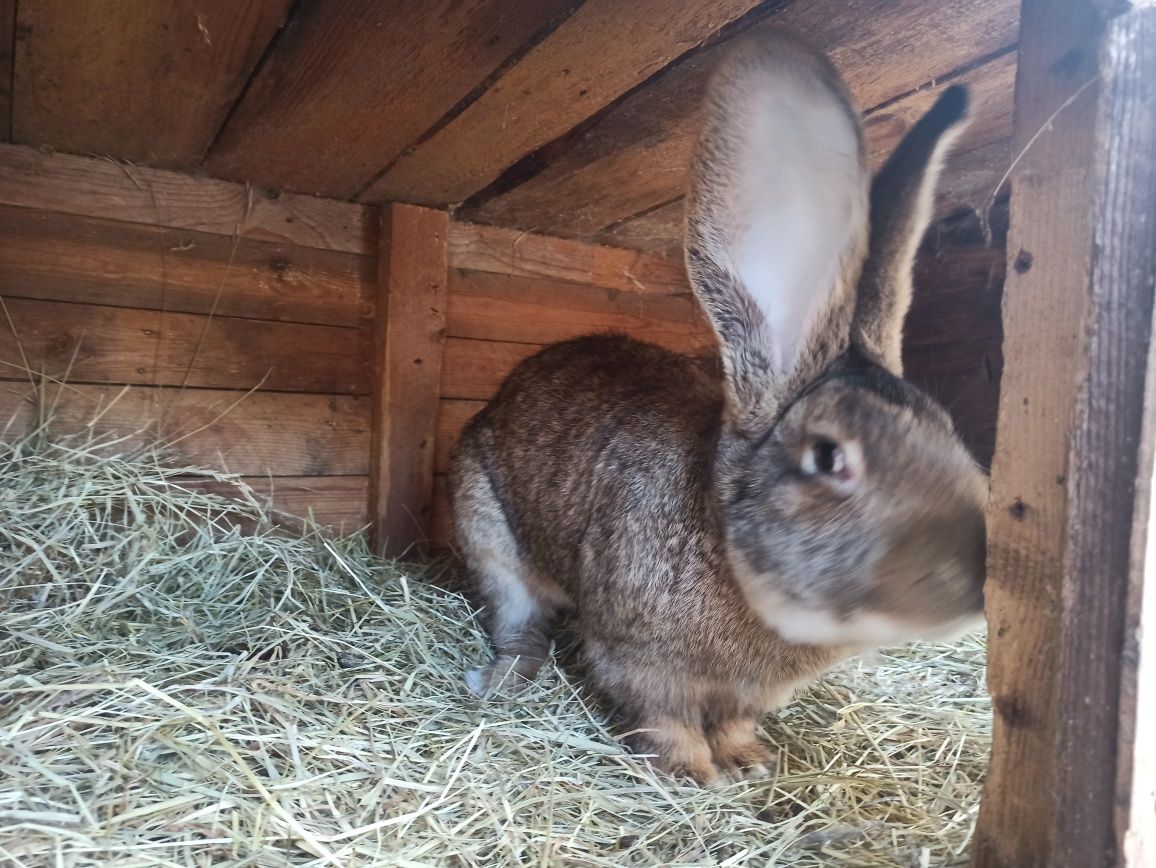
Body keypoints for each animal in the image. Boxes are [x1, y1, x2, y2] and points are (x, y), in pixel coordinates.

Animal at [448, 30, 984, 785]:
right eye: (829, 457)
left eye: (949, 432)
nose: (979, 575)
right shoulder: (639, 660)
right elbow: (665, 718)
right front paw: (692, 774)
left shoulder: (746, 693)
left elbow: (734, 721)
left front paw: (748, 762)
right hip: (487, 528)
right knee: (517, 619)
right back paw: (503, 679)